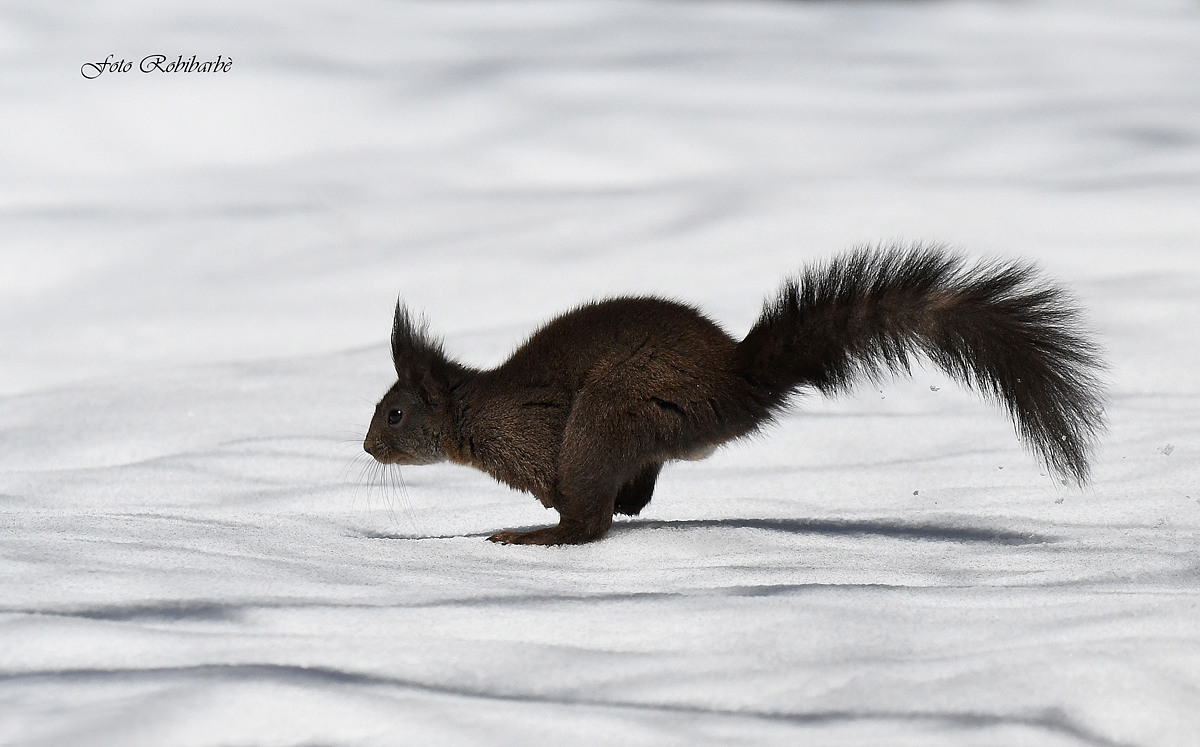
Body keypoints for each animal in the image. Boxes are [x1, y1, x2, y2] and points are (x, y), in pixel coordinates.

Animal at [364, 245, 1105, 546]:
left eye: (394, 412)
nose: (367, 447)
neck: (476, 410)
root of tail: (737, 378)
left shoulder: (537, 436)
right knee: (632, 497)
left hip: (609, 413)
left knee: (591, 523)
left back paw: (538, 532)